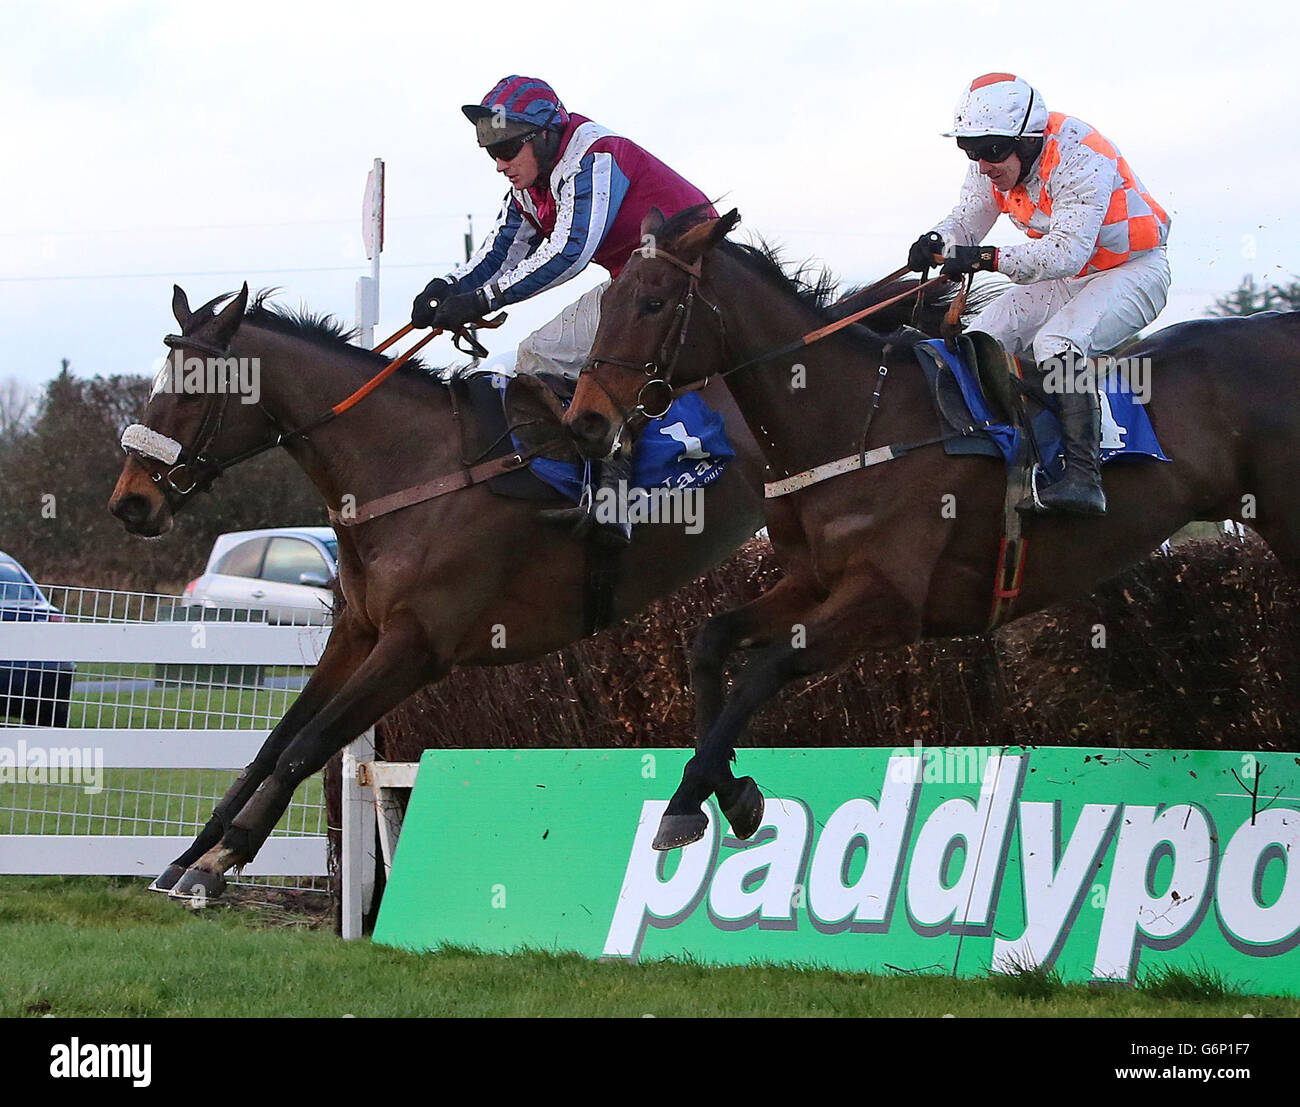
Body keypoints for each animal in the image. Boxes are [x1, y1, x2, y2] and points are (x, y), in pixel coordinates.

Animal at [106, 279, 951, 899]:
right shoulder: (358, 632)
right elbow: (272, 743)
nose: (130, 503)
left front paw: (222, 861)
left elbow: (305, 747)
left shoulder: (419, 646)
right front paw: (189, 855)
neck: (408, 468)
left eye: (194, 388)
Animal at [561, 205, 1300, 847]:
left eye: (654, 303)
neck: (855, 421)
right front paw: (717, 791)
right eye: (608, 303)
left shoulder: (891, 603)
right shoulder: (810, 583)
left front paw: (697, 797)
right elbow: (711, 641)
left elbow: (763, 670)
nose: (586, 421)